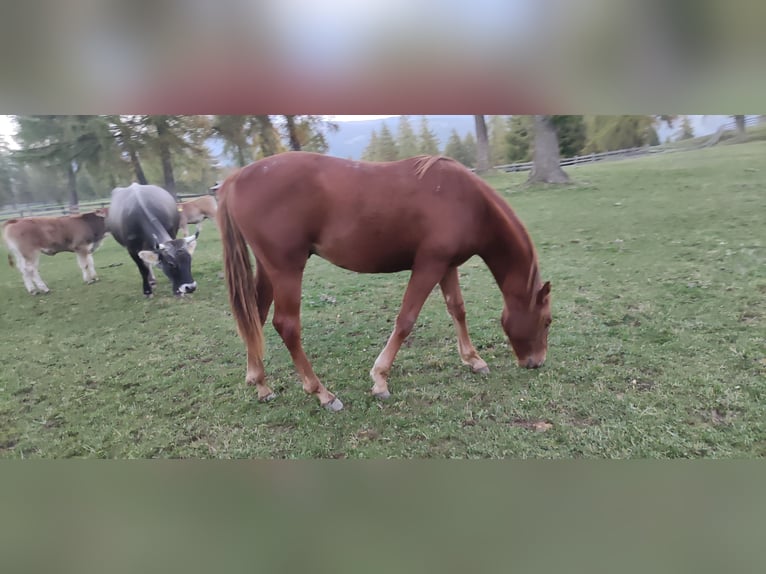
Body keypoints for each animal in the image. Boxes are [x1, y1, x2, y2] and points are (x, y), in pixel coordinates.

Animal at [216, 151, 552, 412]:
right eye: (547, 321)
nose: (537, 363)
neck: (466, 201)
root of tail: (236, 178)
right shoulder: (428, 265)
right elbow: (406, 320)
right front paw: (380, 379)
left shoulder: (447, 265)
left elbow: (457, 309)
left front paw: (473, 359)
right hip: (286, 269)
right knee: (286, 326)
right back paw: (322, 394)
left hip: (268, 269)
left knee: (255, 316)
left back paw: (260, 384)